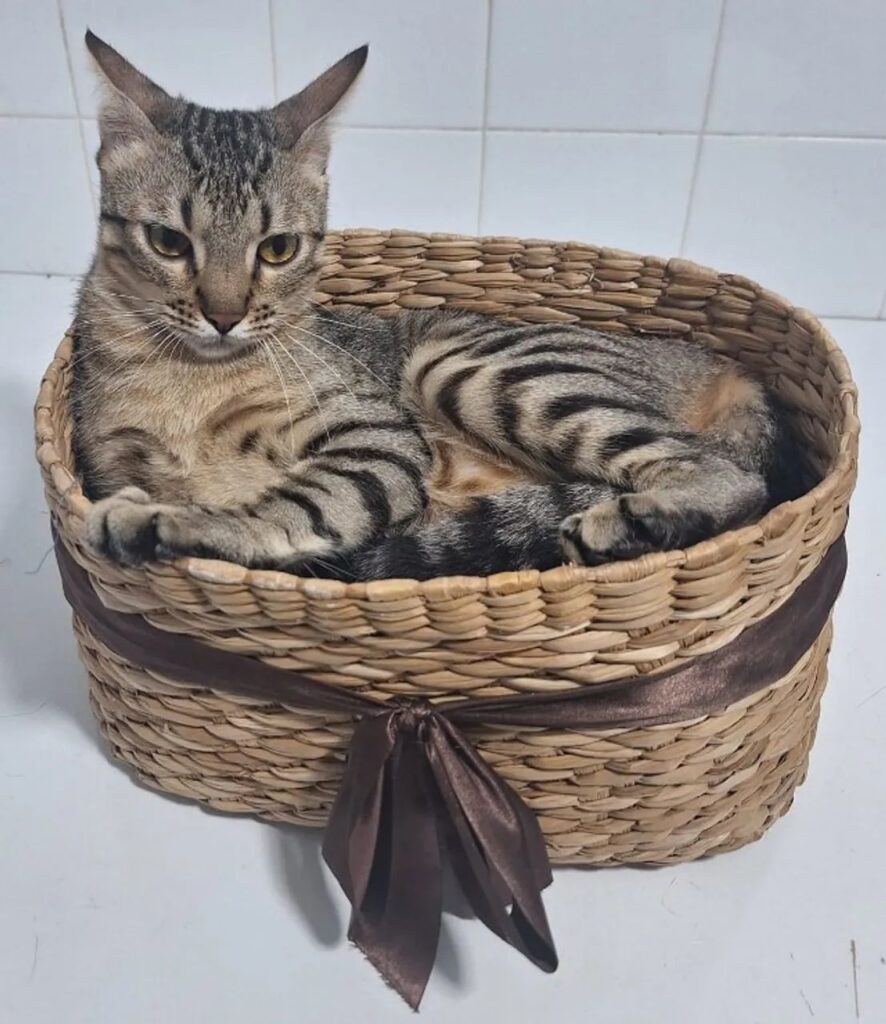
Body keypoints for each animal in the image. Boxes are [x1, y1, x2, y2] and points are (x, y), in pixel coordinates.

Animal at [71, 32, 800, 582]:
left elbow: (297, 506)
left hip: (475, 367)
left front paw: (173, 521)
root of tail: (725, 370)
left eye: (277, 249)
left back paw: (632, 521)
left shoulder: (377, 439)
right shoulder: (111, 461)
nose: (224, 317)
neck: (186, 381)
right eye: (168, 242)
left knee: (732, 477)